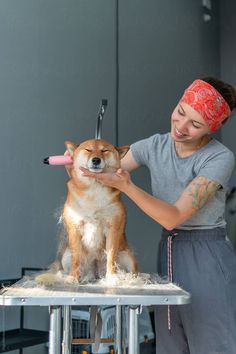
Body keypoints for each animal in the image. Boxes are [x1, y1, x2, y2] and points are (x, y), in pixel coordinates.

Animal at [45, 138, 137, 282]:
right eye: (88, 150)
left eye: (104, 150)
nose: (96, 160)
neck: (93, 191)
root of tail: (95, 270)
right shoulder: (75, 227)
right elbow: (76, 258)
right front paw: (73, 277)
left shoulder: (113, 228)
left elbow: (111, 256)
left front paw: (112, 277)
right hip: (66, 257)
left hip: (128, 257)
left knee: (133, 271)